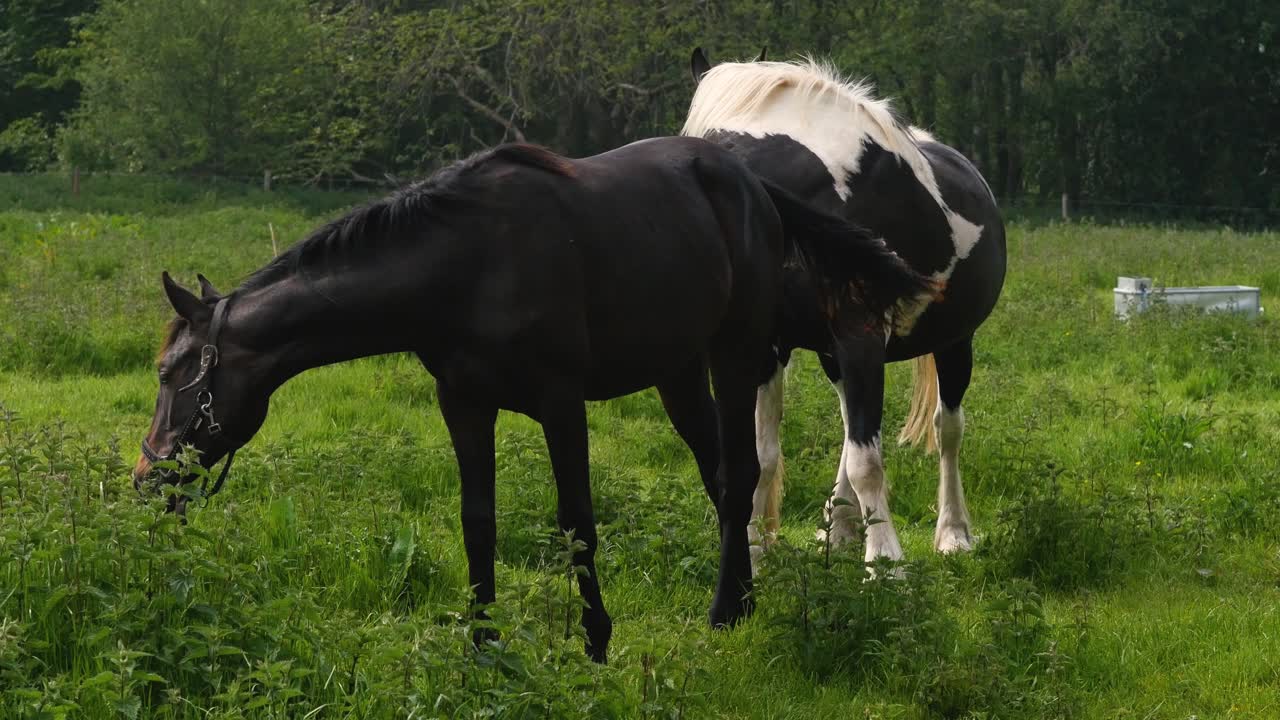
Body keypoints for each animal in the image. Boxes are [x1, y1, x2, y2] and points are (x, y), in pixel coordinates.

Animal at [132, 136, 933, 663]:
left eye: (172, 373)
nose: (147, 476)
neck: (465, 264)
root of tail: (751, 185)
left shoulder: (560, 401)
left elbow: (577, 520)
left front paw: (596, 640)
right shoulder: (463, 403)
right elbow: (476, 523)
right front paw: (483, 644)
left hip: (733, 357)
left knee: (740, 477)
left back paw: (720, 612)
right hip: (676, 374)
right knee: (718, 480)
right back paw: (742, 602)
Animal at [684, 49, 1007, 568]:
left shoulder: (861, 337)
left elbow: (868, 462)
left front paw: (885, 562)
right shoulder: (772, 347)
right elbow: (764, 454)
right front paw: (754, 546)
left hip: (955, 343)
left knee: (948, 431)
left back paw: (953, 533)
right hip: (837, 355)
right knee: (851, 427)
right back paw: (840, 529)